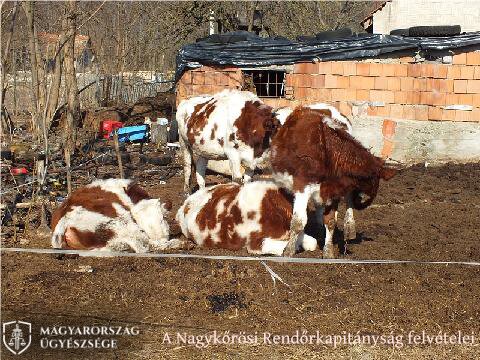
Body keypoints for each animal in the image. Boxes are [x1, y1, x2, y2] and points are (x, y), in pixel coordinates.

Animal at [50, 178, 182, 252]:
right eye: (163, 218)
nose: (162, 237)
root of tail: (63, 223)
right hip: (119, 223)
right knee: (142, 246)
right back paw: (177, 243)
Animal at [270, 105, 398, 258]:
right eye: (372, 181)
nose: (364, 200)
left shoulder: (335, 190)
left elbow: (330, 221)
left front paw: (328, 252)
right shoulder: (302, 187)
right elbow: (298, 221)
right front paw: (288, 251)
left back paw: (349, 227)